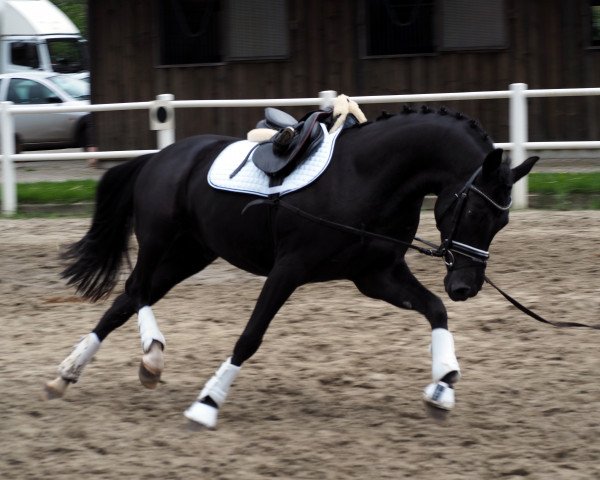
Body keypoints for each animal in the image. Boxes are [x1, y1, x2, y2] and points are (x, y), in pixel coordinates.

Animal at [44, 108, 536, 428]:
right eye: (476, 212)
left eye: (504, 221)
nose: (467, 285)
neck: (365, 176)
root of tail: (159, 156)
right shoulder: (290, 269)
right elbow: (250, 337)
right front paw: (206, 403)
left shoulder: (376, 275)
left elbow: (436, 310)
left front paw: (443, 387)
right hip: (160, 240)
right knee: (137, 287)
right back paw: (150, 357)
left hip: (191, 253)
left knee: (126, 300)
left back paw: (65, 375)